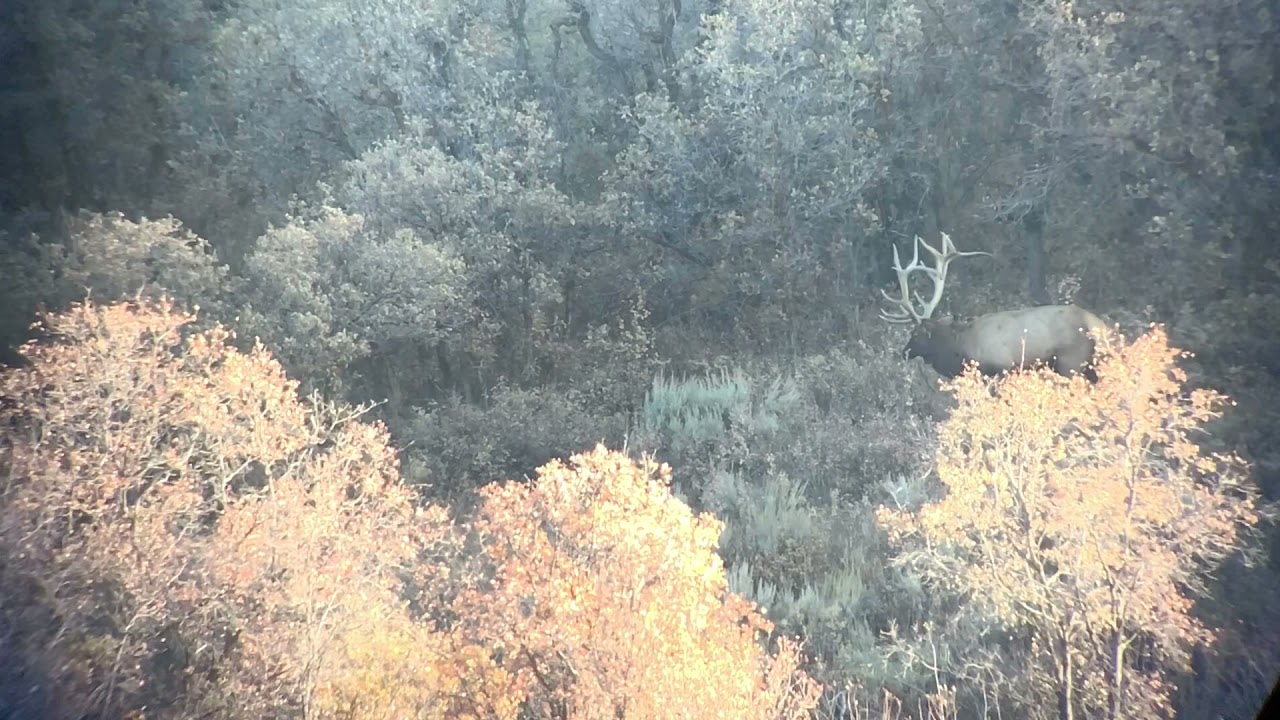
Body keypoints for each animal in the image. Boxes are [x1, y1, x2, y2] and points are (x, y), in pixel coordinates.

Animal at [881, 233, 1111, 381]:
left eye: (916, 334)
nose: (904, 352)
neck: (961, 349)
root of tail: (1099, 326)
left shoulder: (1000, 368)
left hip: (1071, 361)